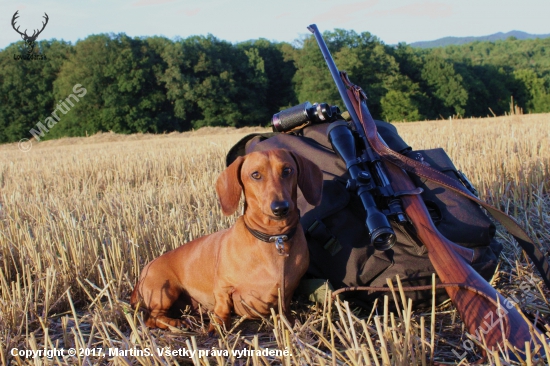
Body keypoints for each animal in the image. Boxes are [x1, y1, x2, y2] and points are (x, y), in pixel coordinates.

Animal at [131, 149, 324, 332]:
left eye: (287, 170)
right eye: (255, 174)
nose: (280, 208)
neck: (274, 237)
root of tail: (143, 272)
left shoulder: (287, 290)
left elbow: (284, 309)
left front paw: (290, 322)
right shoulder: (223, 288)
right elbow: (223, 308)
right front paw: (218, 327)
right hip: (165, 291)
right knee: (151, 318)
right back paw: (177, 323)